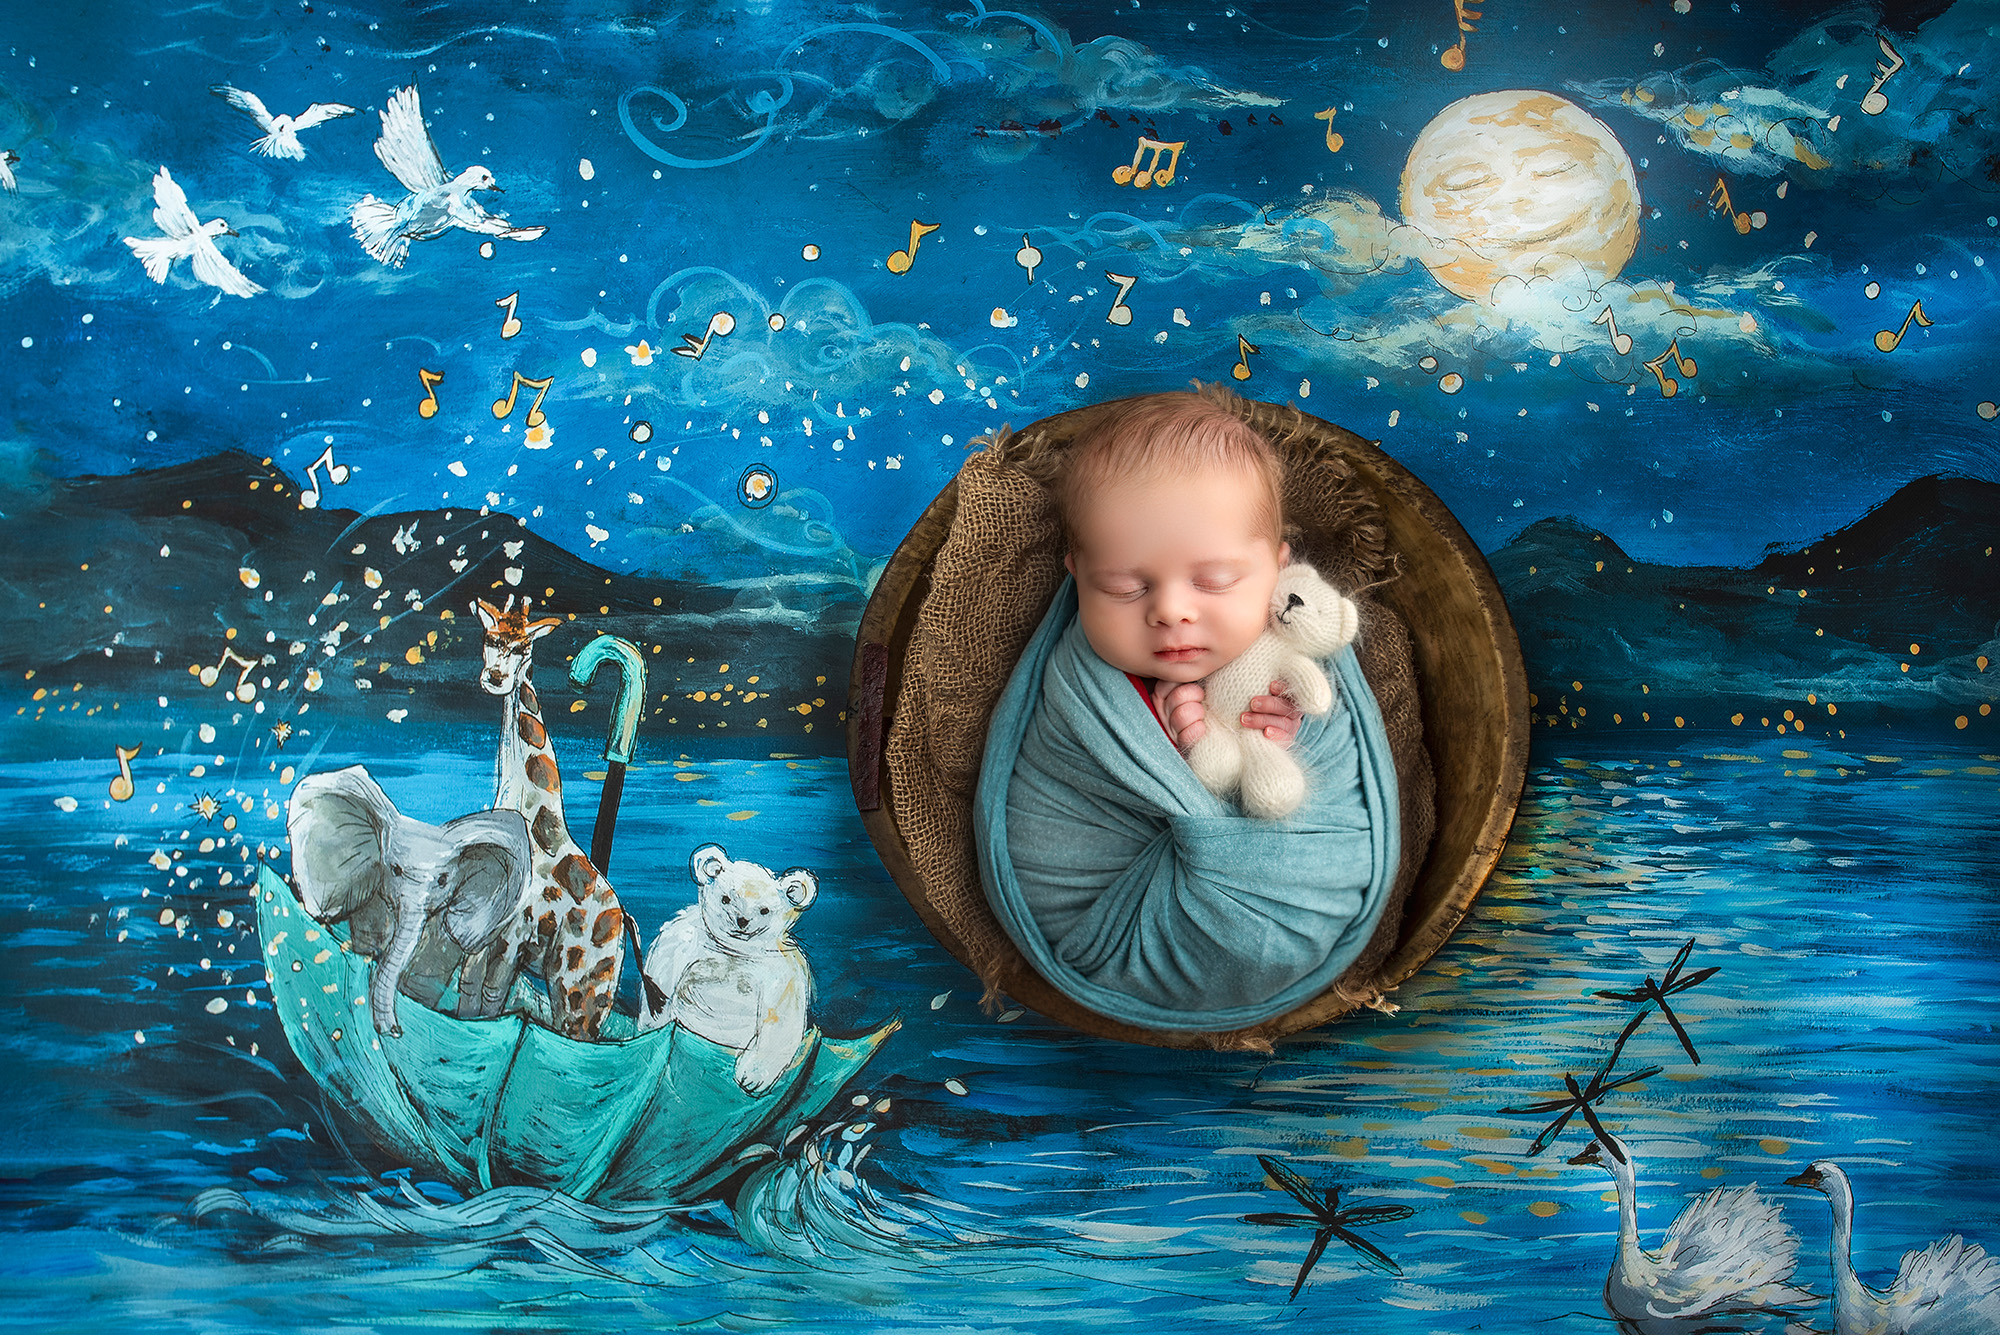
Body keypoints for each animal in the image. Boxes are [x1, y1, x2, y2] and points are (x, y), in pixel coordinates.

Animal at [462, 595, 632, 1039]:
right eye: (490, 637)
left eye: (524, 648)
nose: (496, 678)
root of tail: (621, 921)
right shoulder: (480, 931)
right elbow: (468, 1002)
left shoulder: (512, 939)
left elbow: (488, 1004)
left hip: (581, 990)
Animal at [636, 843, 816, 1095]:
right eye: (726, 899)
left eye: (764, 910)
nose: (742, 921)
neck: (733, 952)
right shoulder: (682, 942)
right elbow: (660, 983)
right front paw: (652, 1028)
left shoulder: (780, 973)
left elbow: (780, 1020)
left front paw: (752, 1078)